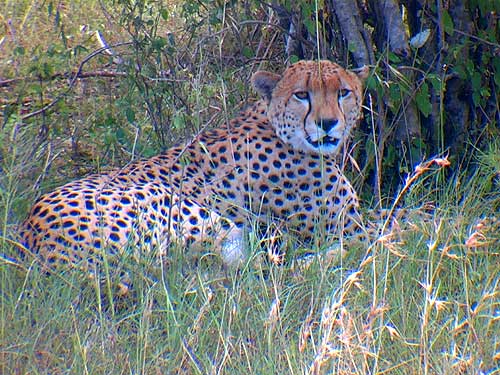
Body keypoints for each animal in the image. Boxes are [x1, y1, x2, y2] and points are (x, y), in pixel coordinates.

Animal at [18, 60, 372, 268]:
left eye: (343, 92)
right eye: (301, 95)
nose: (327, 124)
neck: (275, 125)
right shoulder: (350, 228)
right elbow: (383, 231)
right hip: (194, 214)